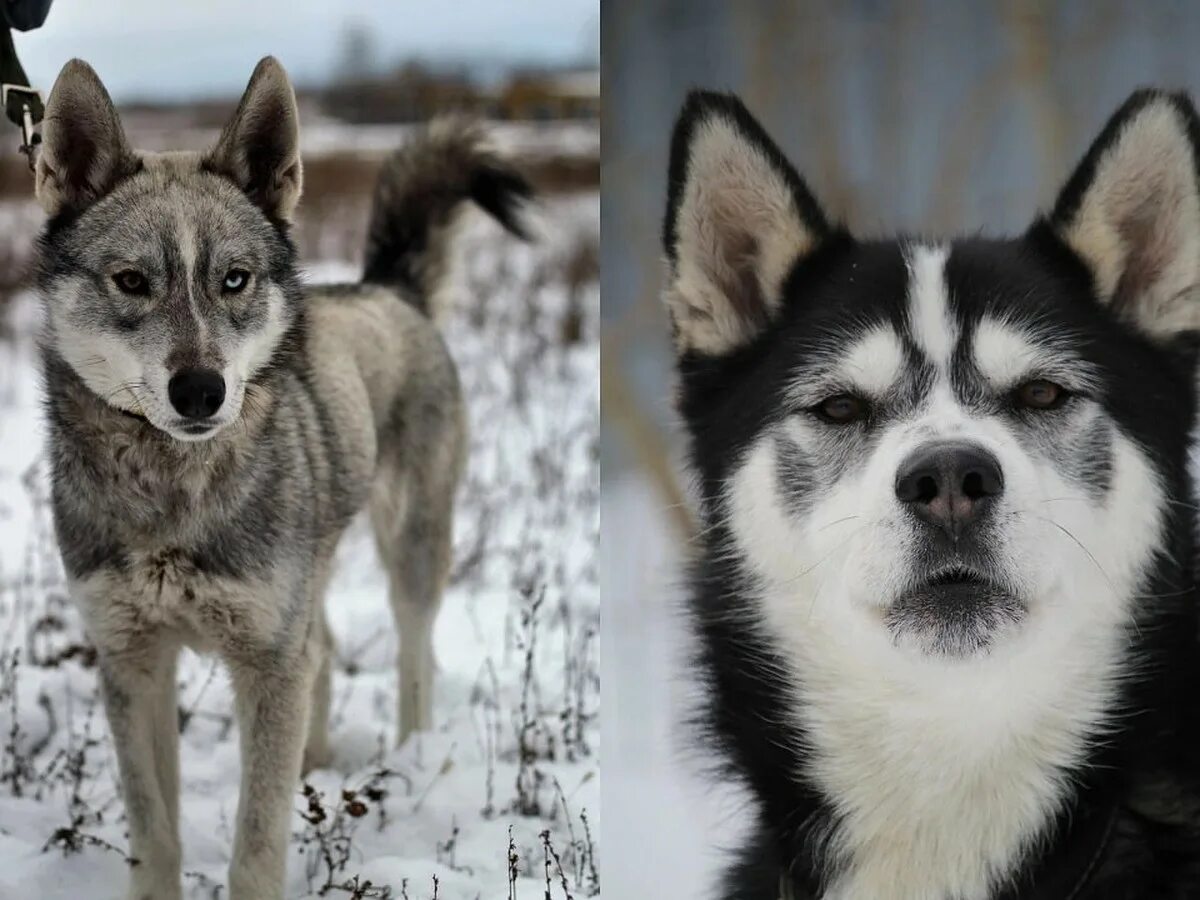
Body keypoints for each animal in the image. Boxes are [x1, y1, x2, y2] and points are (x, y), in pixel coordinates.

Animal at [35, 58, 530, 900]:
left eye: (234, 280)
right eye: (132, 281)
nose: (201, 392)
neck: (172, 494)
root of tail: (388, 289)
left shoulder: (266, 658)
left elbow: (256, 845)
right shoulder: (133, 661)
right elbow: (154, 833)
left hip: (410, 551)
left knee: (413, 658)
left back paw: (410, 768)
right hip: (310, 575)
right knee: (325, 650)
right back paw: (317, 764)